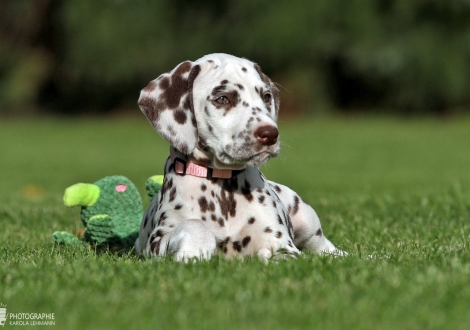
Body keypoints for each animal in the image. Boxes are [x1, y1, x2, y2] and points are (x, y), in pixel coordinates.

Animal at [135, 52, 342, 262]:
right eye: (223, 99)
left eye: (266, 97)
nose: (270, 134)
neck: (222, 188)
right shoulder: (157, 240)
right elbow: (195, 225)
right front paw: (192, 252)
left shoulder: (284, 247)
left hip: (307, 220)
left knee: (325, 248)